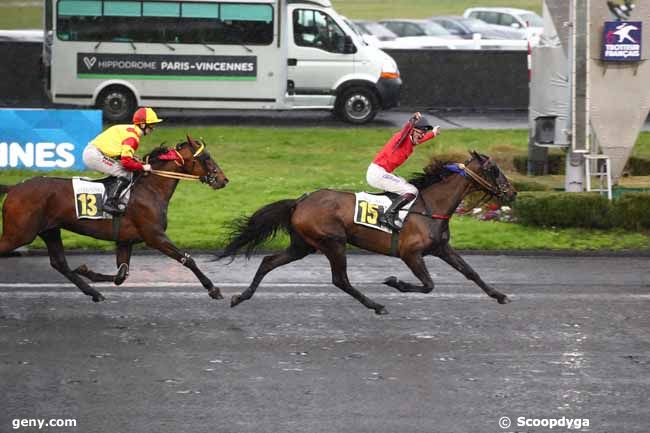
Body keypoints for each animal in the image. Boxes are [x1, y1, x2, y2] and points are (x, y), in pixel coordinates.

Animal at [0, 135, 228, 300]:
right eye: (206, 158)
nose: (223, 180)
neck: (150, 189)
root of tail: (14, 188)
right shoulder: (154, 236)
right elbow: (187, 259)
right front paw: (213, 289)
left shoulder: (125, 241)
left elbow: (121, 275)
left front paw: (86, 270)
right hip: (19, 234)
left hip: (49, 230)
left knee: (59, 263)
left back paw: (94, 293)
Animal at [220, 152, 512, 314]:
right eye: (494, 169)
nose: (511, 192)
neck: (431, 207)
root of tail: (299, 201)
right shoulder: (410, 253)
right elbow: (428, 285)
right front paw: (396, 282)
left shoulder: (441, 248)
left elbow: (470, 272)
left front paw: (499, 295)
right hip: (333, 243)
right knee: (341, 280)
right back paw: (377, 305)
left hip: (302, 245)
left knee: (269, 262)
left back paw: (241, 296)